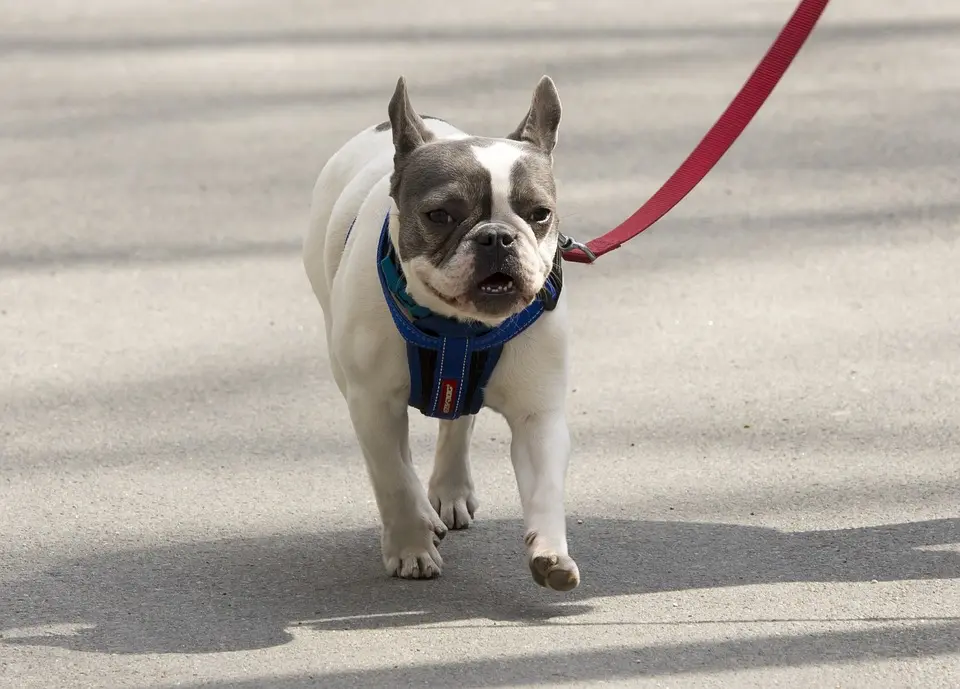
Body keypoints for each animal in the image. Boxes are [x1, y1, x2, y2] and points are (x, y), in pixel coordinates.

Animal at [304, 75, 580, 592]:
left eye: (540, 214)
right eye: (440, 215)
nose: (497, 236)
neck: (459, 329)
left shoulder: (538, 413)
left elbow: (546, 484)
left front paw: (551, 552)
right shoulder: (372, 402)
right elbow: (393, 477)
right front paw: (411, 547)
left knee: (457, 422)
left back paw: (450, 491)